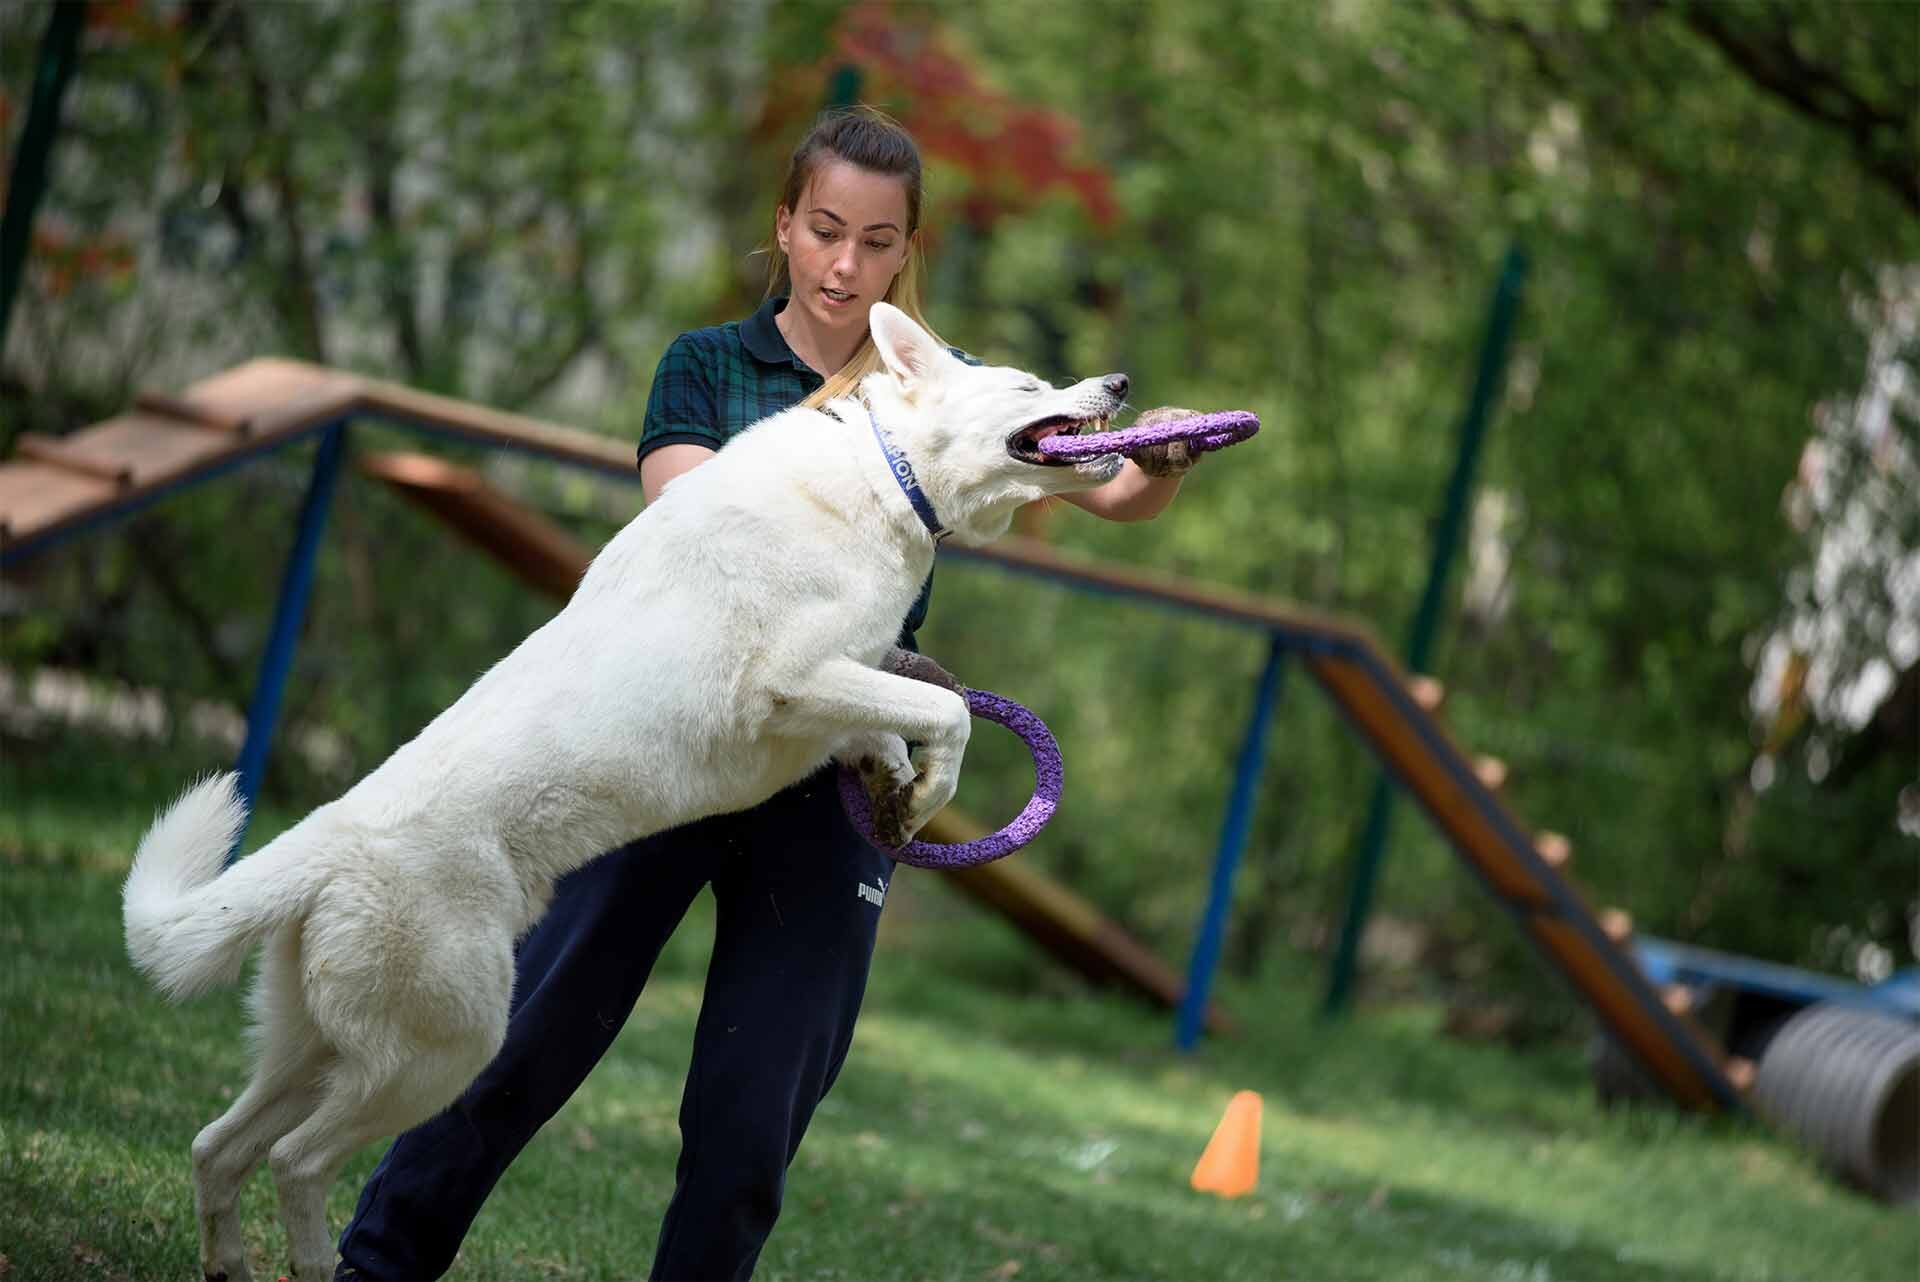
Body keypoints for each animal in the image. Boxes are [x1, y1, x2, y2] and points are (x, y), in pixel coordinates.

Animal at [123, 303, 1121, 1282]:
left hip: (315, 1047)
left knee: (218, 1146)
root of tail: (320, 848)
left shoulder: (832, 697)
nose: (1118, 383)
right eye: (1026, 386)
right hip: (441, 1051)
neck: (885, 472)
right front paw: (924, 792)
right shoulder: (795, 678)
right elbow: (945, 710)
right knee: (296, 1161)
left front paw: (893, 795)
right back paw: (309, 1261)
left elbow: (891, 723)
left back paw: (229, 1265)